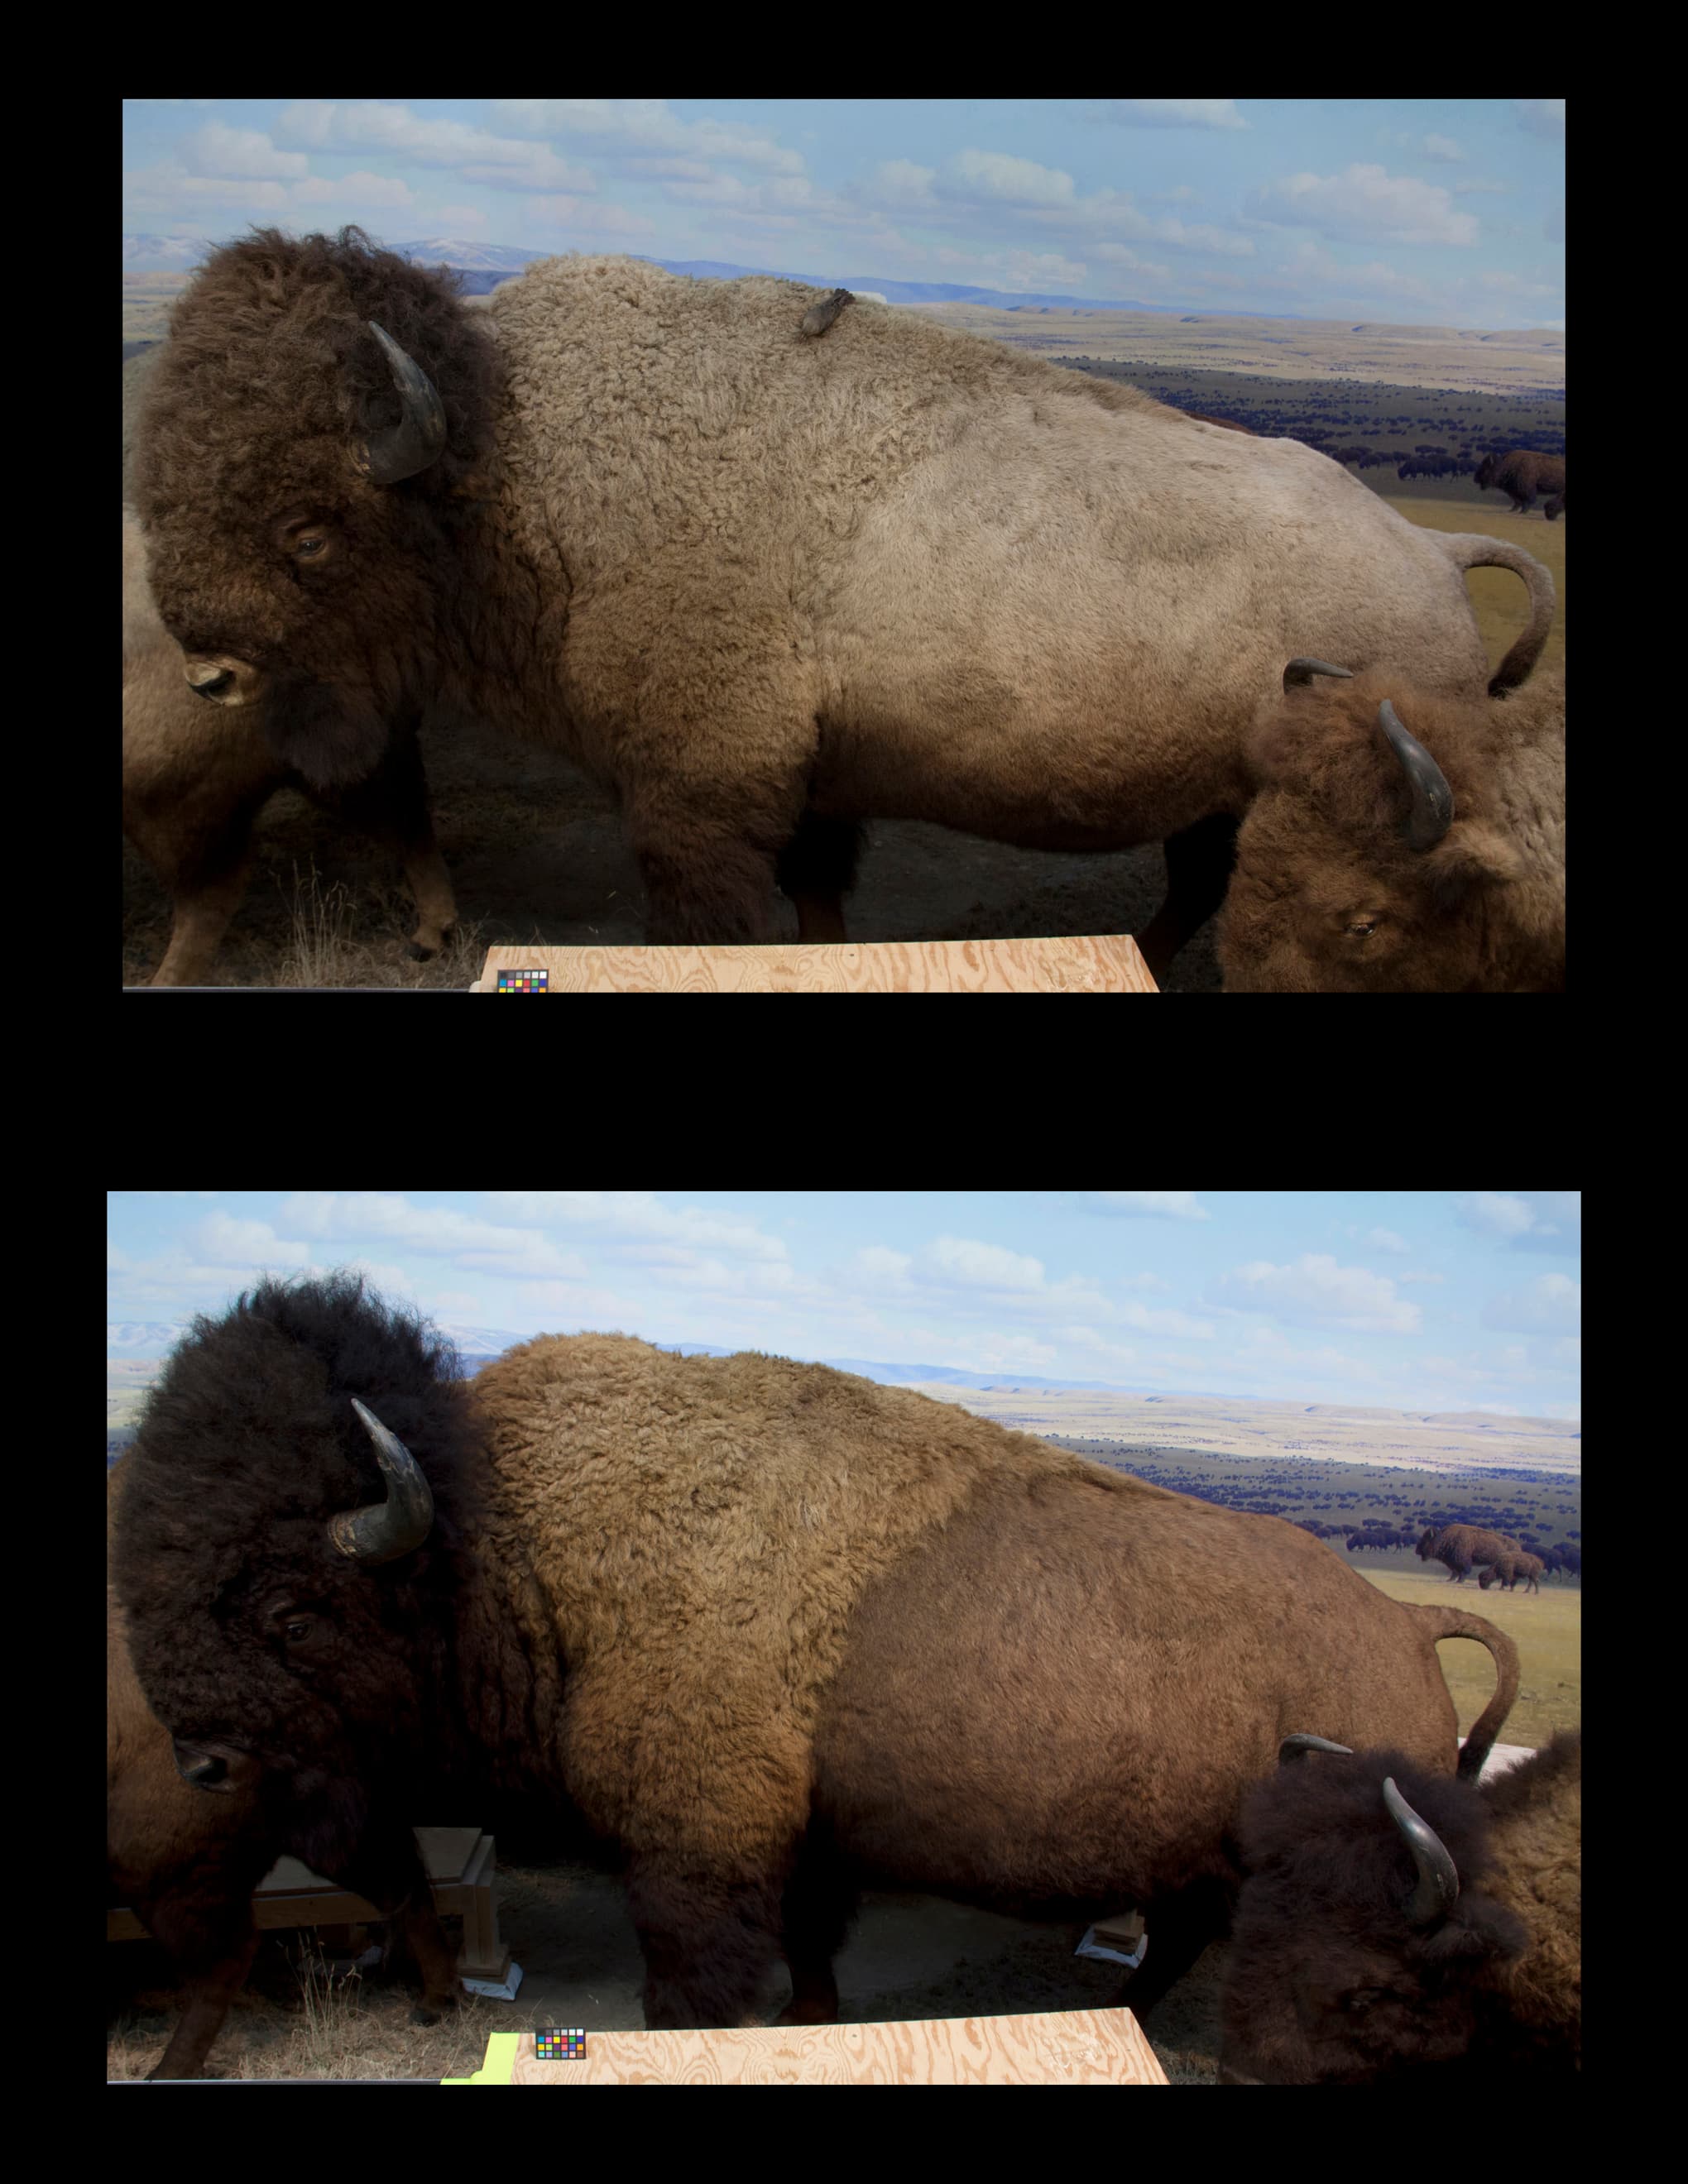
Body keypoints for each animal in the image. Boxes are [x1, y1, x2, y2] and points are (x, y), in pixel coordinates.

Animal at [113, 1273, 1522, 2032]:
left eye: (292, 1612)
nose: (202, 1762)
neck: (498, 1538)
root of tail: (1402, 1624)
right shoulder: (803, 1845)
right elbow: (809, 1956)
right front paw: (814, 2023)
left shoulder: (697, 1858)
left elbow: (699, 1983)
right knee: (1183, 1932)